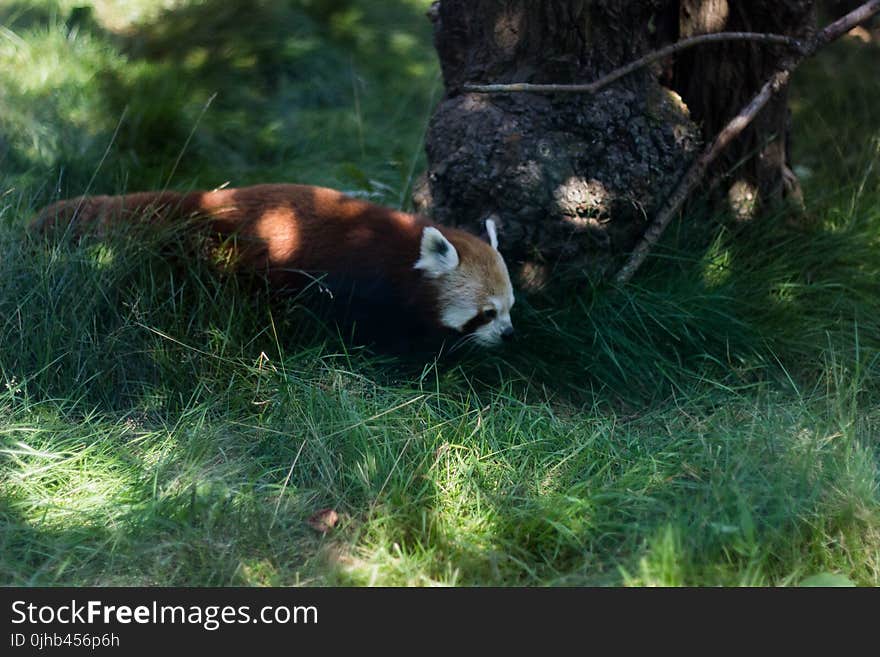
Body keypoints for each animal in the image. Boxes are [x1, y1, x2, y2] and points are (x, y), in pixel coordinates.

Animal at [34, 183, 516, 348]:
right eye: (486, 313)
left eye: (511, 308)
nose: (508, 334)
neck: (402, 252)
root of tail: (198, 200)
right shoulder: (360, 285)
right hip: (216, 252)